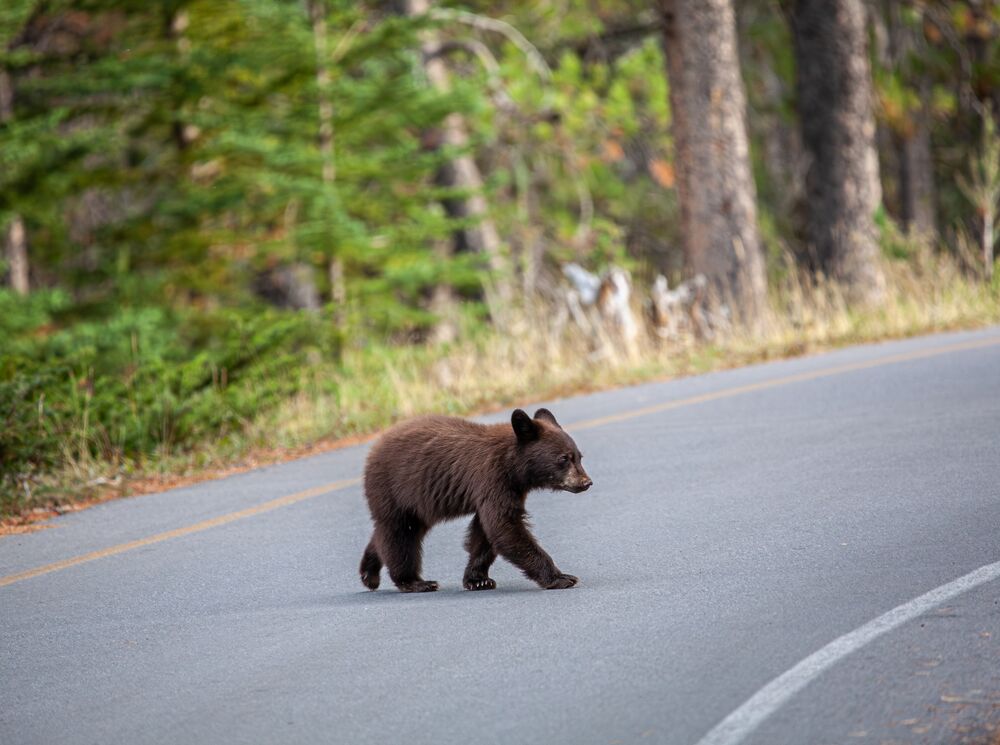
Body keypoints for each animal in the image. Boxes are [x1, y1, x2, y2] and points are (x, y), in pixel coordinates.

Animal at [359, 408, 592, 592]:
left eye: (579, 457)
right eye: (564, 458)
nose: (586, 482)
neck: (513, 465)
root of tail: (374, 448)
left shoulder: (510, 489)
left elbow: (485, 531)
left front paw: (478, 579)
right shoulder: (493, 479)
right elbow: (504, 526)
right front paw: (561, 577)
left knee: (389, 533)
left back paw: (369, 574)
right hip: (394, 490)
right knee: (399, 535)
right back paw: (414, 582)